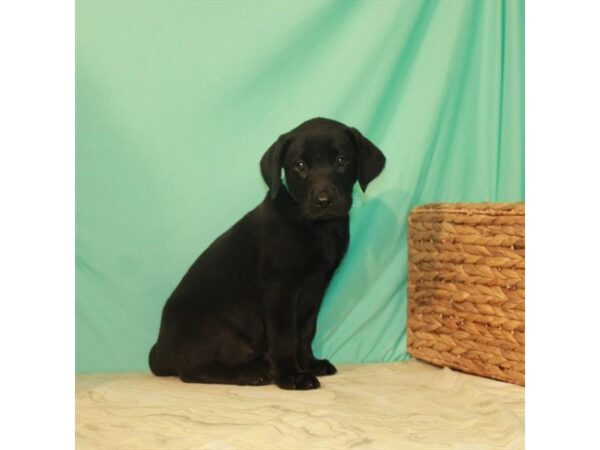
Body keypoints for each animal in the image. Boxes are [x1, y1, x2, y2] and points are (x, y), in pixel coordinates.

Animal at [149, 118, 384, 388]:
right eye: (299, 165)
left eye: (341, 160)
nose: (323, 200)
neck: (317, 227)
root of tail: (159, 353)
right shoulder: (280, 288)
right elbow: (285, 336)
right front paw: (291, 375)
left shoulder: (316, 288)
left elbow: (306, 331)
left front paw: (309, 364)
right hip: (217, 331)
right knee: (192, 369)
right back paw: (251, 373)